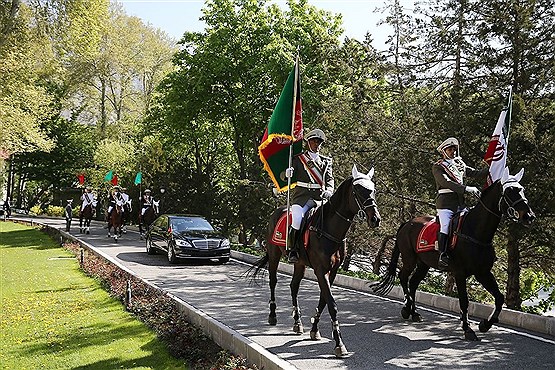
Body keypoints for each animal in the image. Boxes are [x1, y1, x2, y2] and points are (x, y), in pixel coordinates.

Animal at [251, 166, 382, 356]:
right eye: (358, 190)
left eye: (373, 190)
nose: (375, 219)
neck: (329, 228)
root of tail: (278, 210)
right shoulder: (321, 270)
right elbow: (332, 304)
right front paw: (339, 343)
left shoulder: (332, 271)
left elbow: (323, 300)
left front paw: (315, 329)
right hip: (274, 255)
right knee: (273, 281)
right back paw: (273, 315)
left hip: (299, 263)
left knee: (294, 287)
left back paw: (298, 323)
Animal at [372, 168, 536, 342]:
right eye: (509, 191)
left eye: (522, 189)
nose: (529, 216)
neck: (476, 232)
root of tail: (407, 223)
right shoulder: (460, 273)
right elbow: (464, 301)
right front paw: (468, 329)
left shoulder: (483, 273)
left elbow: (499, 298)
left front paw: (485, 324)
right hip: (410, 259)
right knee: (403, 277)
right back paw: (406, 309)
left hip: (424, 264)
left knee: (413, 282)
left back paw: (414, 312)